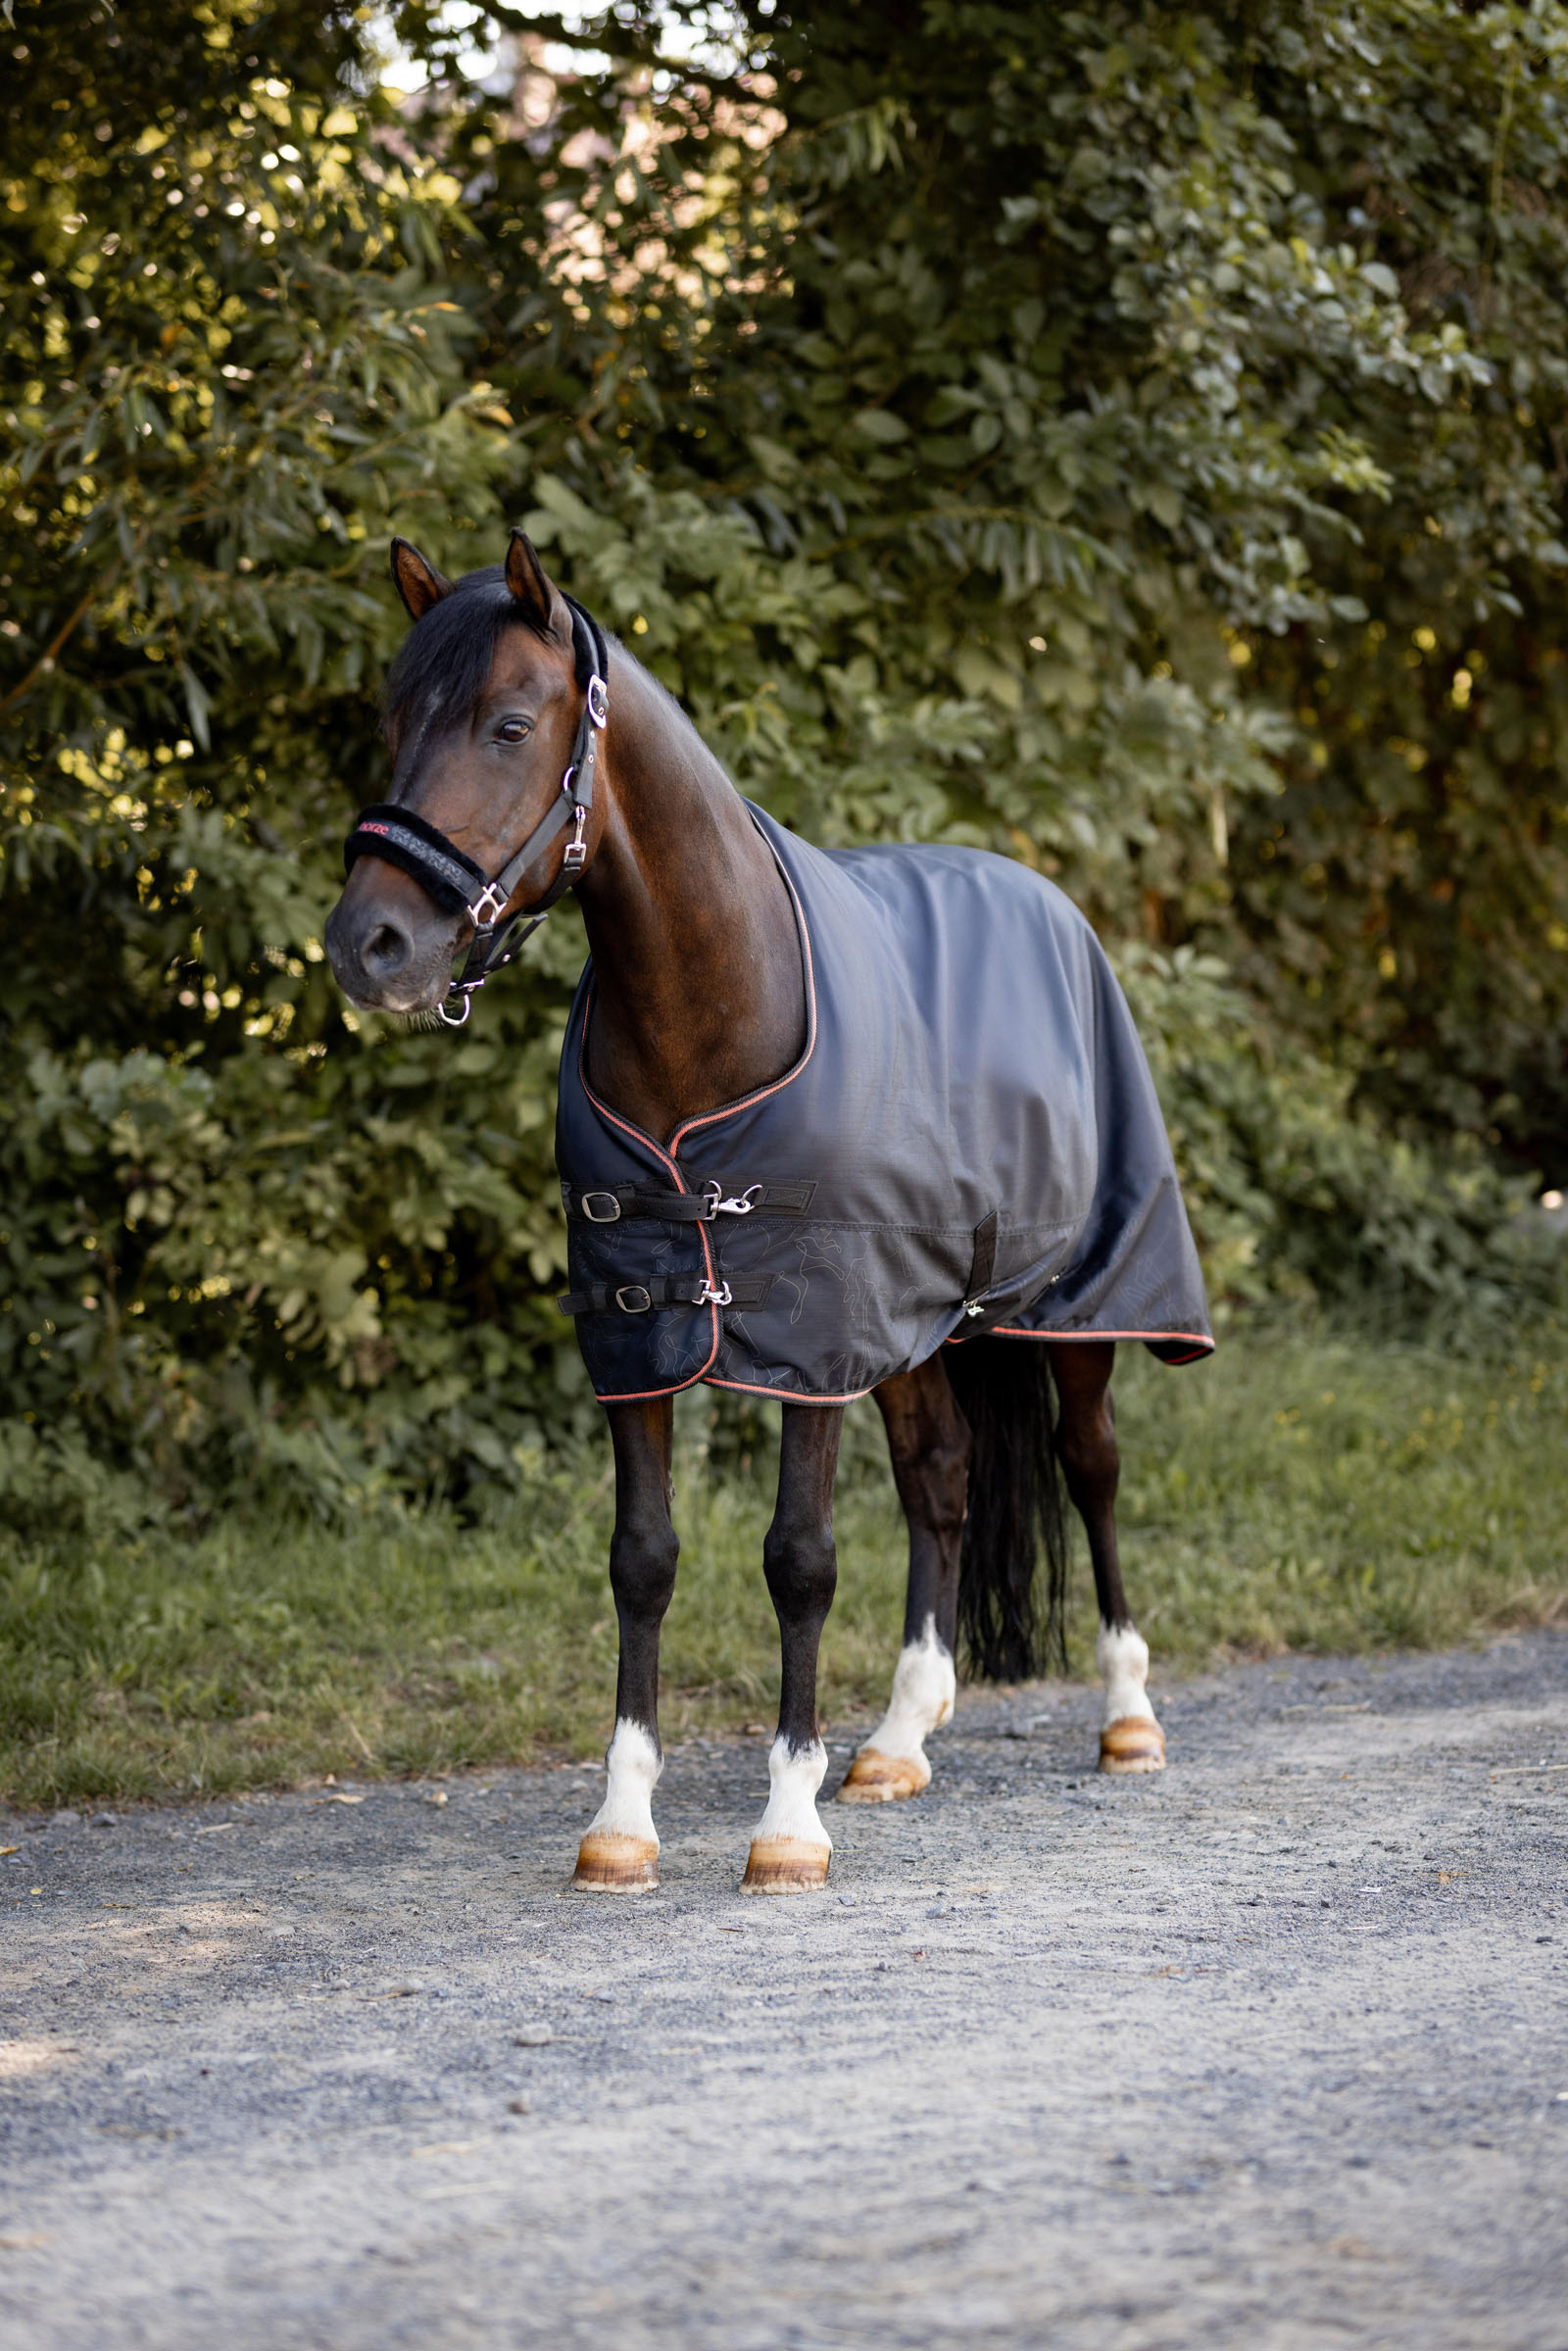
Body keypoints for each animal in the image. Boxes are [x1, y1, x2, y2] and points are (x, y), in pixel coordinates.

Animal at [324, 529, 1213, 1894]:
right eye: (389, 720)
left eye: (508, 723)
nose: (367, 943)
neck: (710, 1009)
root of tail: (1039, 889)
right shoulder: (639, 1332)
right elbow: (642, 1560)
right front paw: (621, 1822)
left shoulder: (809, 1338)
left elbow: (799, 1559)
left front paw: (786, 1824)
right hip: (920, 1326)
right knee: (941, 1476)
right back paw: (898, 1739)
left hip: (1079, 1304)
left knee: (1092, 1467)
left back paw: (1126, 1715)